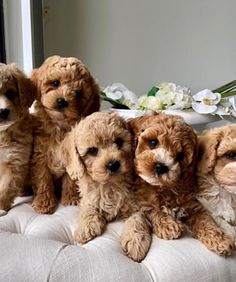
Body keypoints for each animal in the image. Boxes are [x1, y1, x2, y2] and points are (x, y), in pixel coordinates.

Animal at [30, 55, 99, 214]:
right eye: (55, 83)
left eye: (78, 93)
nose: (62, 101)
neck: (59, 127)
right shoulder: (40, 156)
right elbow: (43, 179)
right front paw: (43, 202)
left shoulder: (71, 158)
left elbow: (70, 179)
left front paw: (71, 198)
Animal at [58, 112, 137, 245]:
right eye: (92, 150)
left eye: (119, 142)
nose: (113, 164)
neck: (109, 184)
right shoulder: (87, 197)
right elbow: (87, 208)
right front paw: (86, 227)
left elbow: (137, 218)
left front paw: (134, 240)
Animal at [121, 113, 233, 262]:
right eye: (153, 142)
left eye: (180, 156)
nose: (161, 166)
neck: (164, 187)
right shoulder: (144, 201)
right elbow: (154, 210)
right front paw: (168, 225)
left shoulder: (193, 205)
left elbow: (206, 220)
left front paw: (221, 240)